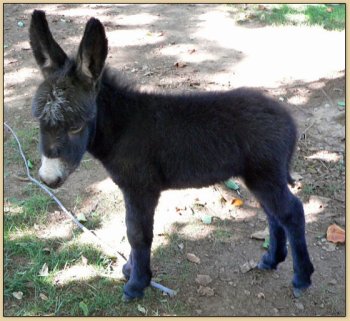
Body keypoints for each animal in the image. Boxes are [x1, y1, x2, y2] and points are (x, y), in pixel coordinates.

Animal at [30, 10, 314, 300]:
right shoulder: (134, 190)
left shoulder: (141, 188)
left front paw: (137, 283)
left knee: (291, 212)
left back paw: (302, 278)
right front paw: (131, 270)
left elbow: (137, 233)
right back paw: (272, 260)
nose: (48, 179)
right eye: (39, 122)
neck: (123, 128)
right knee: (273, 213)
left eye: (76, 126)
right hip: (257, 177)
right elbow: (133, 230)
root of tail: (288, 120)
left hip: (265, 175)